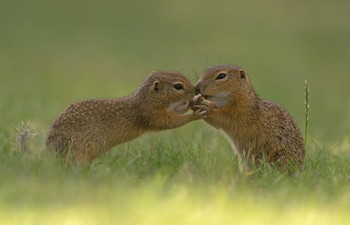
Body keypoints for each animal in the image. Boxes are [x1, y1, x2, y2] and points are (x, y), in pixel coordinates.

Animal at [45, 71, 202, 163]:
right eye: (178, 86)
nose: (196, 90)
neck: (144, 99)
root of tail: (49, 149)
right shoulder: (150, 114)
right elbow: (169, 122)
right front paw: (195, 114)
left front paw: (191, 103)